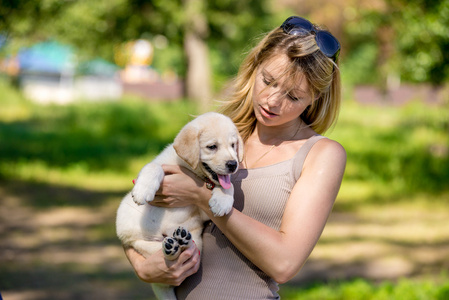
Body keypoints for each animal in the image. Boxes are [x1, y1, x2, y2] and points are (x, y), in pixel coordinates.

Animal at [115, 112, 242, 300]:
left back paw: (180, 240)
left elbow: (228, 185)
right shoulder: (162, 164)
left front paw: (223, 200)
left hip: (197, 244)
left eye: (233, 145)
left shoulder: (202, 210)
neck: (192, 170)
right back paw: (172, 246)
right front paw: (143, 190)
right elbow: (154, 167)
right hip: (138, 241)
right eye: (212, 147)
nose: (233, 165)